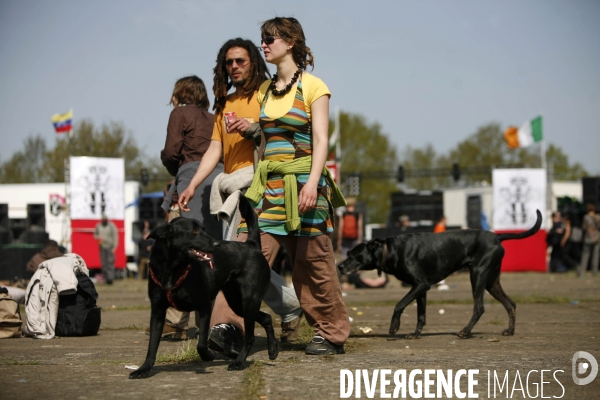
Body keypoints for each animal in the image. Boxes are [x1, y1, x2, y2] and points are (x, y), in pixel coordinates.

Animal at [130, 195, 278, 378]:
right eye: (193, 232)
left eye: (203, 229)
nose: (217, 244)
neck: (174, 269)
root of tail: (252, 244)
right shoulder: (157, 311)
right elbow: (152, 345)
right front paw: (144, 368)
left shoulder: (205, 307)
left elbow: (201, 343)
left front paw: (209, 355)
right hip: (237, 303)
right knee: (267, 318)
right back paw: (273, 349)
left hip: (249, 300)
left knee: (250, 336)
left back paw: (239, 362)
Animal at [338, 211, 544, 340]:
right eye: (347, 253)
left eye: (354, 255)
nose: (339, 266)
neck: (389, 250)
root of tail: (496, 236)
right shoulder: (421, 290)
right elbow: (421, 315)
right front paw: (415, 334)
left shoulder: (421, 285)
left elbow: (399, 305)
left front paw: (394, 327)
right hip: (491, 281)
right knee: (511, 304)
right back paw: (510, 330)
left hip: (477, 275)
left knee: (479, 307)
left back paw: (465, 332)